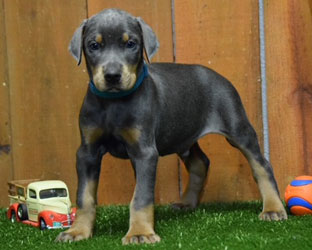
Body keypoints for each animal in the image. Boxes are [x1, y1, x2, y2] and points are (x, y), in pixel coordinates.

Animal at [56, 8, 288, 246]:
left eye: (131, 43)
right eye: (94, 45)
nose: (112, 76)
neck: (113, 104)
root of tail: (219, 76)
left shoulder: (144, 152)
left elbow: (141, 197)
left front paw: (139, 232)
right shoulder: (87, 152)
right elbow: (84, 196)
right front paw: (77, 231)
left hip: (237, 127)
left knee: (261, 165)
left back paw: (273, 208)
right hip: (183, 136)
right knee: (199, 163)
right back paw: (187, 203)